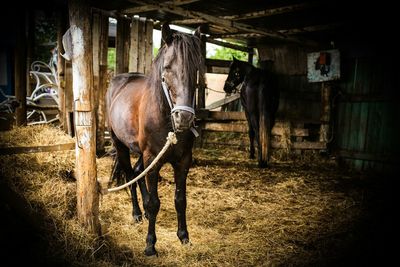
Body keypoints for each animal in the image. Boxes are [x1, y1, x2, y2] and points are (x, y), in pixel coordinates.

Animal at [105, 24, 202, 256]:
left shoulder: (183, 161)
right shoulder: (152, 159)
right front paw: (150, 244)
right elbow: (155, 203)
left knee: (138, 172)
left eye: (196, 68)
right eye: (167, 68)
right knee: (130, 175)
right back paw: (137, 213)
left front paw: (184, 237)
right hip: (121, 146)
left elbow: (180, 200)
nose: (184, 118)